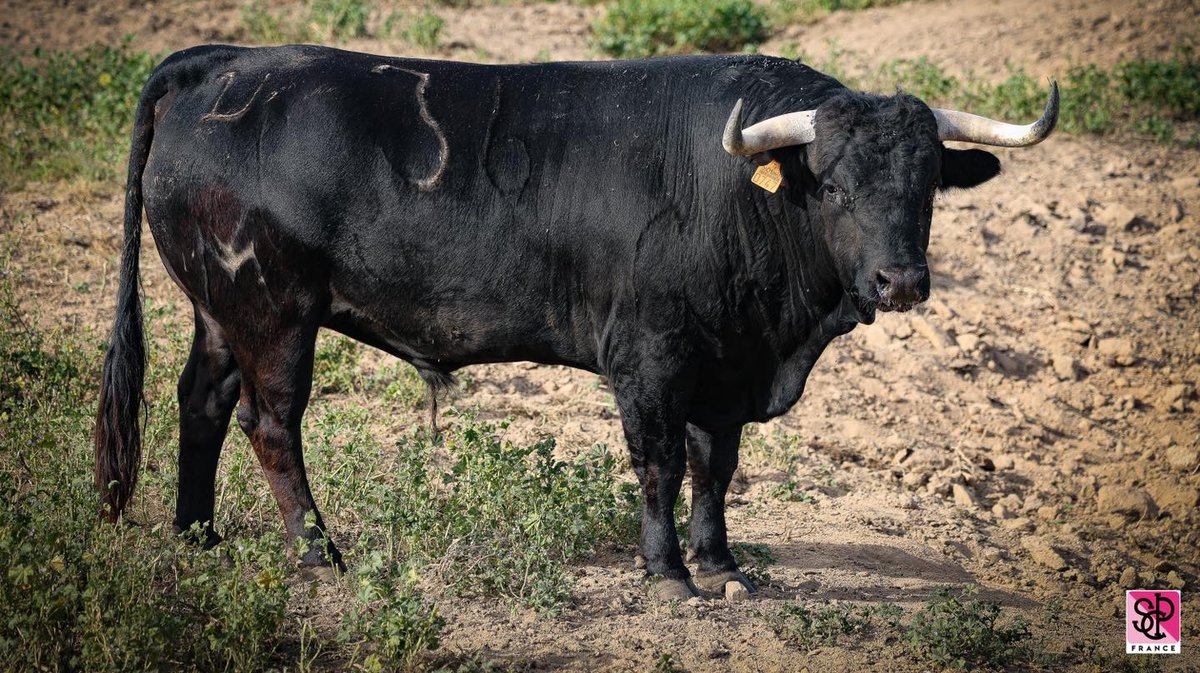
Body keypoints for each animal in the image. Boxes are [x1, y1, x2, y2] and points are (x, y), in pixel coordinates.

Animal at [91, 44, 1051, 595]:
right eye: (837, 183)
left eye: (927, 185)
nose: (901, 280)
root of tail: (221, 64)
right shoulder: (650, 360)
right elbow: (661, 462)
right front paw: (669, 574)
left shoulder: (725, 368)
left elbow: (717, 466)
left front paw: (724, 565)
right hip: (274, 312)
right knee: (272, 424)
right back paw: (318, 554)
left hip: (221, 311)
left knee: (202, 401)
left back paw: (198, 535)